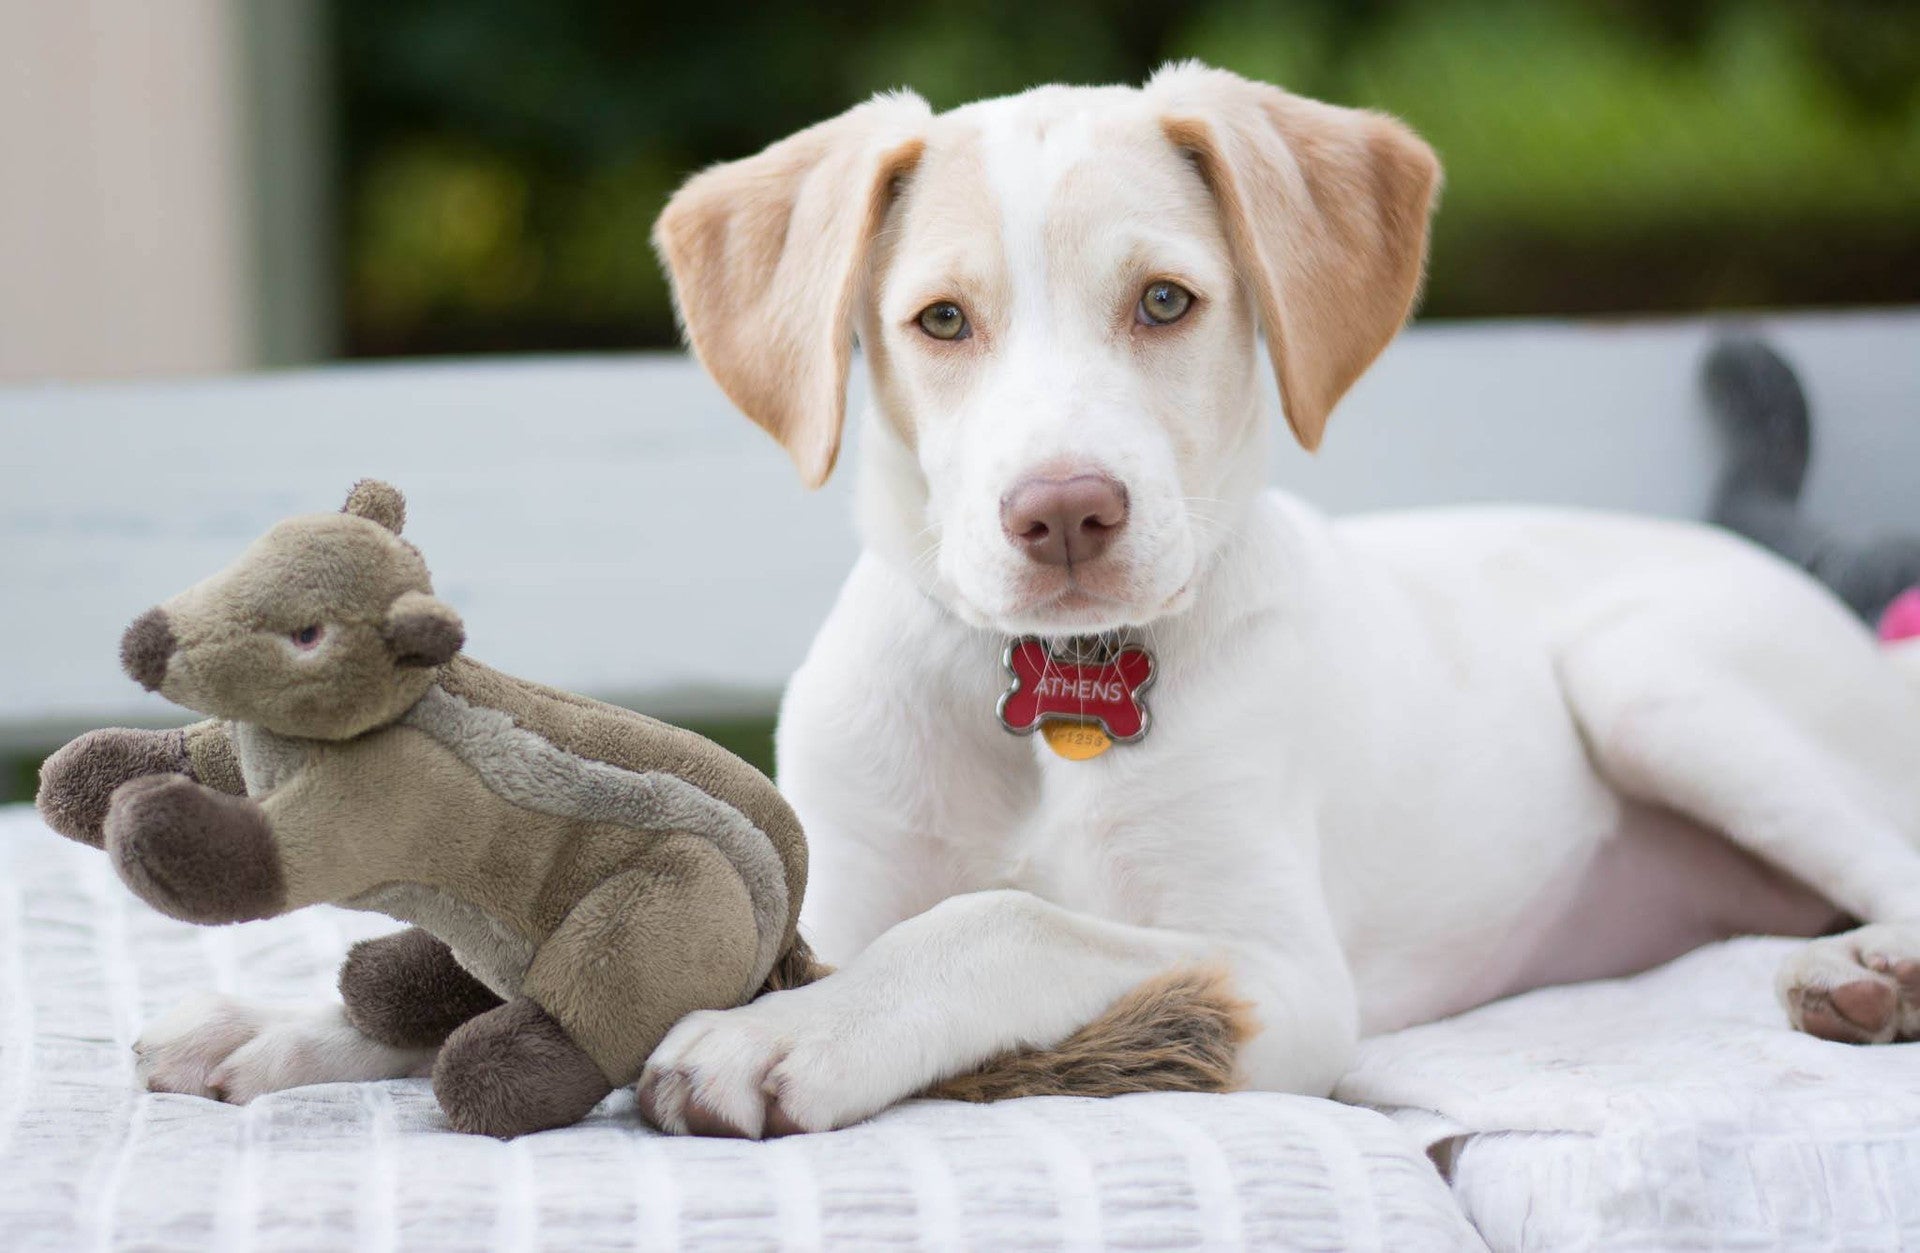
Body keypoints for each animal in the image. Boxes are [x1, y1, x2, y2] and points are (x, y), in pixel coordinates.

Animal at [139, 63, 1920, 1135]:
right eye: (940, 321)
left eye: (1167, 302)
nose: (1065, 511)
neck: (1050, 693)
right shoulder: (836, 890)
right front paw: (285, 1030)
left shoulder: (1284, 977)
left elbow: (1012, 917)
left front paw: (784, 1040)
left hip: (1663, 677)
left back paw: (1867, 976)